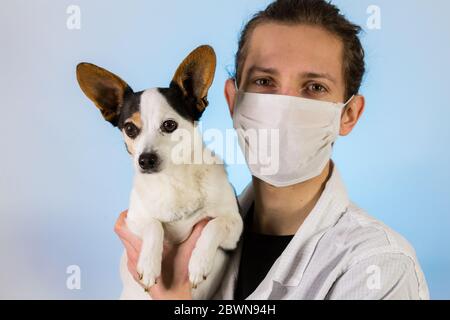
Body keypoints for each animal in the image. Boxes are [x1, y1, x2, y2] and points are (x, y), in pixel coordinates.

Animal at [75, 45, 243, 300]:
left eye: (169, 125)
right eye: (130, 129)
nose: (145, 160)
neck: (173, 180)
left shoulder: (234, 227)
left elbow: (214, 224)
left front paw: (198, 263)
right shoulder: (132, 221)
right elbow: (154, 225)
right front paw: (148, 265)